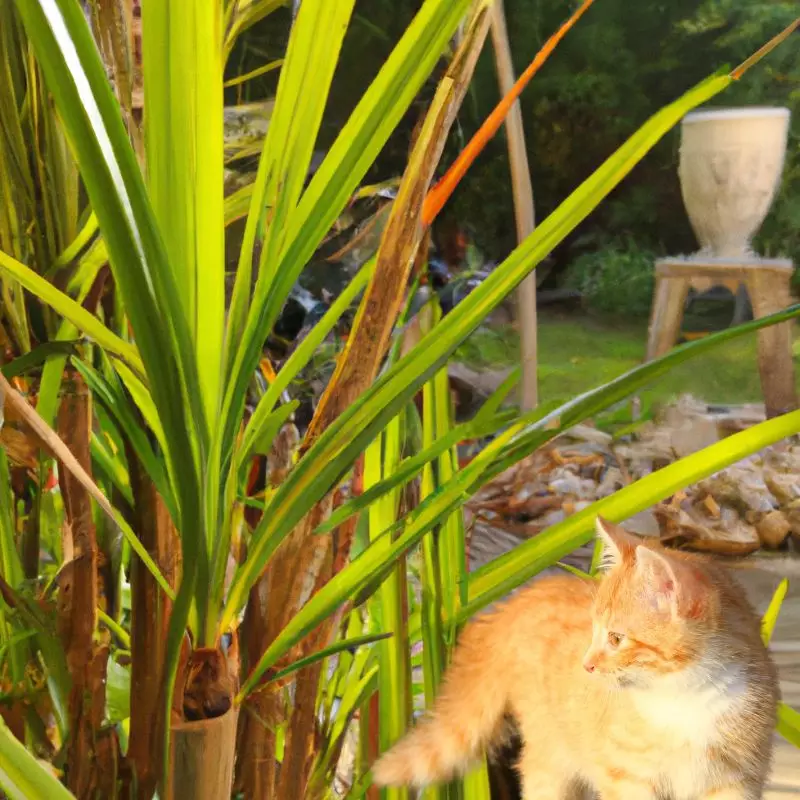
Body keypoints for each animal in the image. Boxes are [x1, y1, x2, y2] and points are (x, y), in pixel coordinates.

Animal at [376, 516, 780, 796]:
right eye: (594, 631)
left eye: (616, 638)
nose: (587, 666)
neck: (686, 699)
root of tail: (523, 596)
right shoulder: (628, 778)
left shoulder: (737, 780)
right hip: (551, 761)